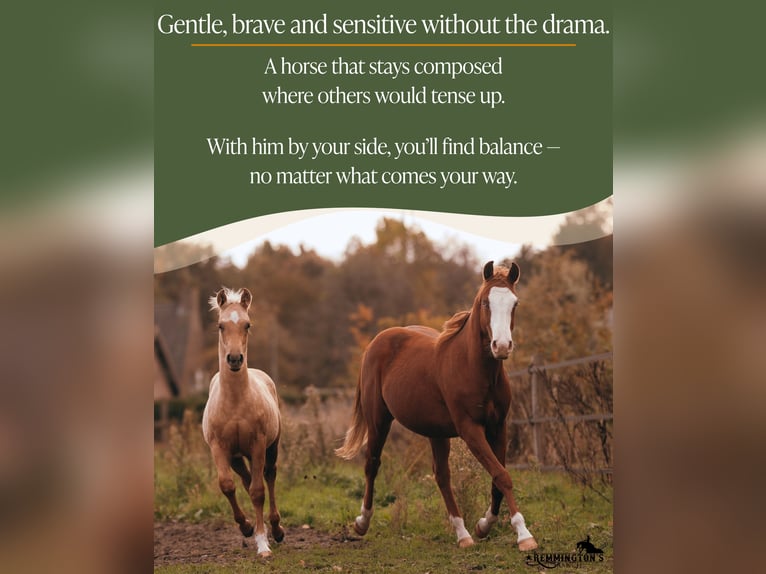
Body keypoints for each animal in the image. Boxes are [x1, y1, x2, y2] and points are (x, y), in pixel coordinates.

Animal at [202, 287, 284, 558]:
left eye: (247, 325)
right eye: (220, 325)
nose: (235, 359)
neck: (236, 402)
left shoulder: (258, 445)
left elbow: (258, 492)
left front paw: (263, 544)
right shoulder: (220, 448)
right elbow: (227, 486)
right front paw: (247, 527)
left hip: (271, 447)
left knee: (268, 476)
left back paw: (276, 529)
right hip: (237, 457)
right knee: (247, 480)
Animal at [336, 261, 538, 551]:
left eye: (515, 303)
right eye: (485, 303)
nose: (501, 346)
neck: (475, 368)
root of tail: (377, 342)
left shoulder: (499, 427)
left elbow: (498, 479)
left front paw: (483, 525)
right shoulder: (470, 429)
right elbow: (502, 476)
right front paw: (524, 535)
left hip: (437, 432)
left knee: (441, 476)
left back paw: (463, 534)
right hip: (378, 421)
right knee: (372, 464)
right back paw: (362, 523)